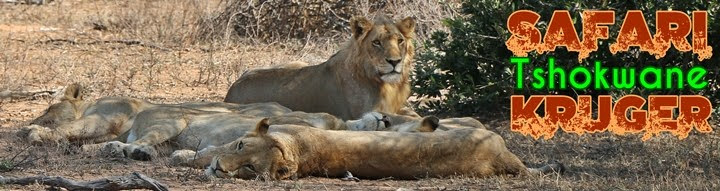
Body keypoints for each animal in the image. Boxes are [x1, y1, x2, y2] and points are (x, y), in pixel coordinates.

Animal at [225, 15, 416, 119]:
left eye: (400, 41)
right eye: (376, 42)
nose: (395, 61)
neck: (387, 85)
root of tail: (231, 90)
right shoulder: (366, 113)